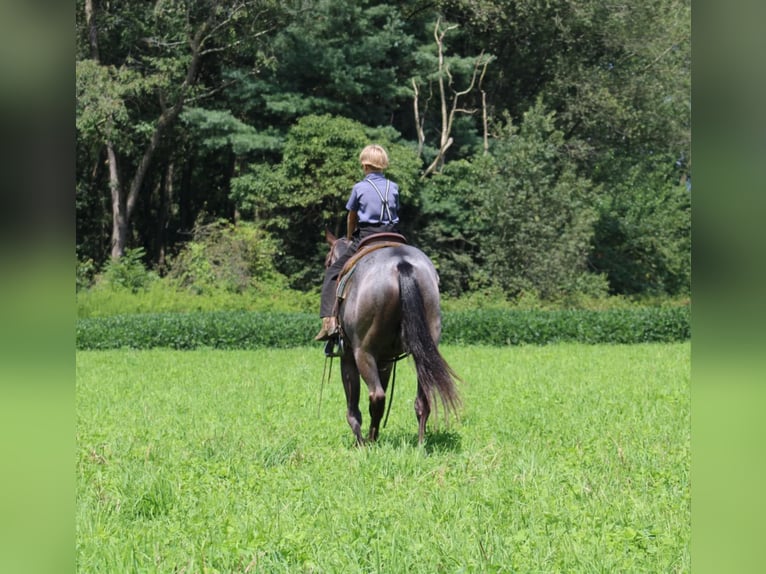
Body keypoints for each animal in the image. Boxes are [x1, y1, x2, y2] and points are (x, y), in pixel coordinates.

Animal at [324, 232, 462, 448]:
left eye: (327, 260)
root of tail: (402, 263)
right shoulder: (385, 361)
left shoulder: (348, 357)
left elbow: (353, 405)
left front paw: (359, 442)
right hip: (424, 350)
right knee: (422, 401)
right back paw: (419, 444)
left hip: (363, 353)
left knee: (377, 396)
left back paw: (368, 443)